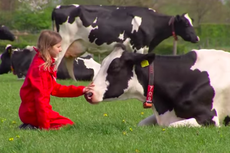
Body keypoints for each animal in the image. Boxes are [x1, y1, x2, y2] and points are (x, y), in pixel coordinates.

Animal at [51, 3, 199, 80]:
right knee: (54, 64)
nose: (196, 38)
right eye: (186, 24)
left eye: (191, 22)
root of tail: (59, 7)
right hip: (63, 42)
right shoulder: (138, 46)